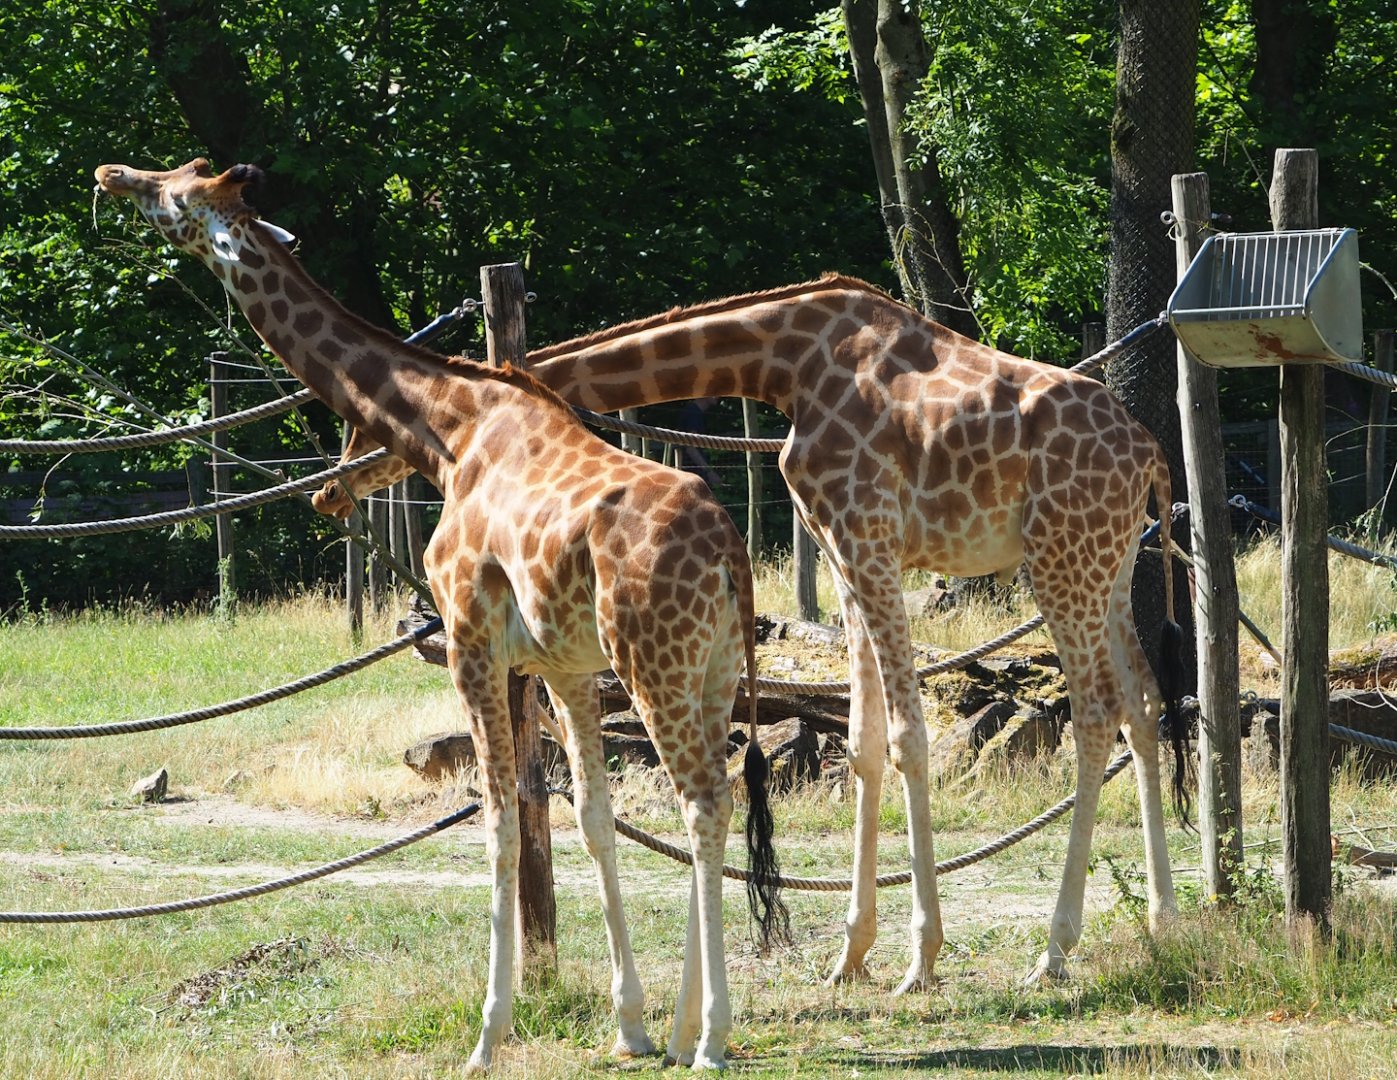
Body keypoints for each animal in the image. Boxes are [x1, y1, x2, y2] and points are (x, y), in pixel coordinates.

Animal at [95, 158, 788, 1071]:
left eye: (174, 194)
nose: (111, 175)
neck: (450, 433)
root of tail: (730, 551)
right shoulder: (566, 666)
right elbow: (592, 819)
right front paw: (629, 1026)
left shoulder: (468, 638)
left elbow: (498, 822)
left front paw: (488, 1036)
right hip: (707, 668)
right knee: (710, 801)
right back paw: (683, 1029)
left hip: (654, 664)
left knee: (703, 801)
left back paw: (709, 1039)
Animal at [315, 274, 1186, 989]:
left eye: (360, 427)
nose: (329, 487)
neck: (782, 364)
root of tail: (1150, 455)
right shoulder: (839, 546)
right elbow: (864, 739)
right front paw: (850, 955)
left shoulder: (866, 536)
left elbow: (908, 735)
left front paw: (919, 959)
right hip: (1105, 562)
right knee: (1143, 702)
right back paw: (1164, 922)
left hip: (1059, 558)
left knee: (1096, 710)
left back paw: (1055, 950)